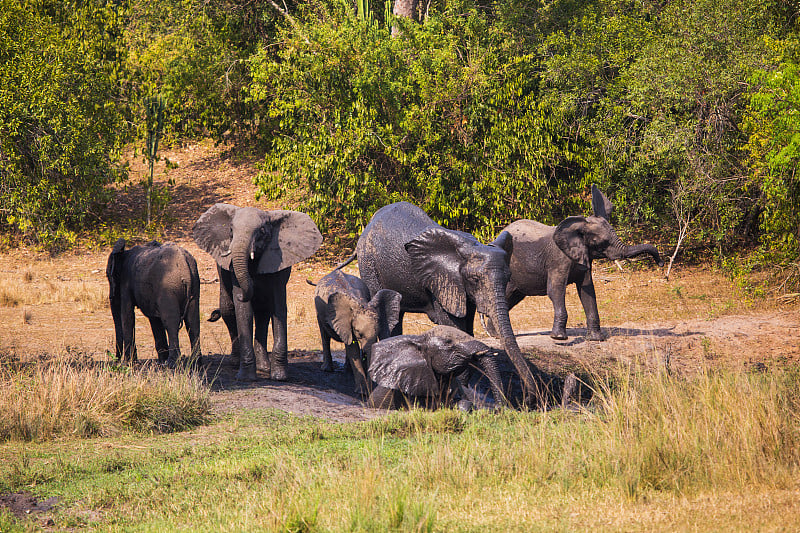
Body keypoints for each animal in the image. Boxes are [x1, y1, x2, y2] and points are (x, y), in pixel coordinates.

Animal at [106, 239, 202, 368]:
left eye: (108, 276)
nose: (115, 362)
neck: (124, 253)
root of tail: (185, 266)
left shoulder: (126, 284)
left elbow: (127, 316)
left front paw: (127, 365)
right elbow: (154, 320)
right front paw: (159, 361)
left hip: (168, 288)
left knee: (171, 323)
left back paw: (171, 364)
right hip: (195, 286)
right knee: (193, 323)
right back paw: (196, 363)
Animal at [194, 202, 322, 380]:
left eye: (261, 231)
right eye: (231, 230)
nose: (243, 294)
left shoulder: (278, 264)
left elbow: (278, 308)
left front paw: (279, 377)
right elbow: (244, 311)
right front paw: (246, 377)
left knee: (262, 315)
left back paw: (264, 367)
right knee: (228, 310)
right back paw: (236, 363)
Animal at [354, 202, 548, 402]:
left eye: (508, 277)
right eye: (475, 280)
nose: (527, 399)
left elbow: (467, 326)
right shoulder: (442, 281)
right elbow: (453, 324)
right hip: (368, 264)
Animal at [496, 185, 664, 338]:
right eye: (600, 242)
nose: (661, 263)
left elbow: (587, 290)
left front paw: (596, 338)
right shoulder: (558, 259)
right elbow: (555, 289)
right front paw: (559, 338)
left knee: (512, 297)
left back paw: (496, 335)